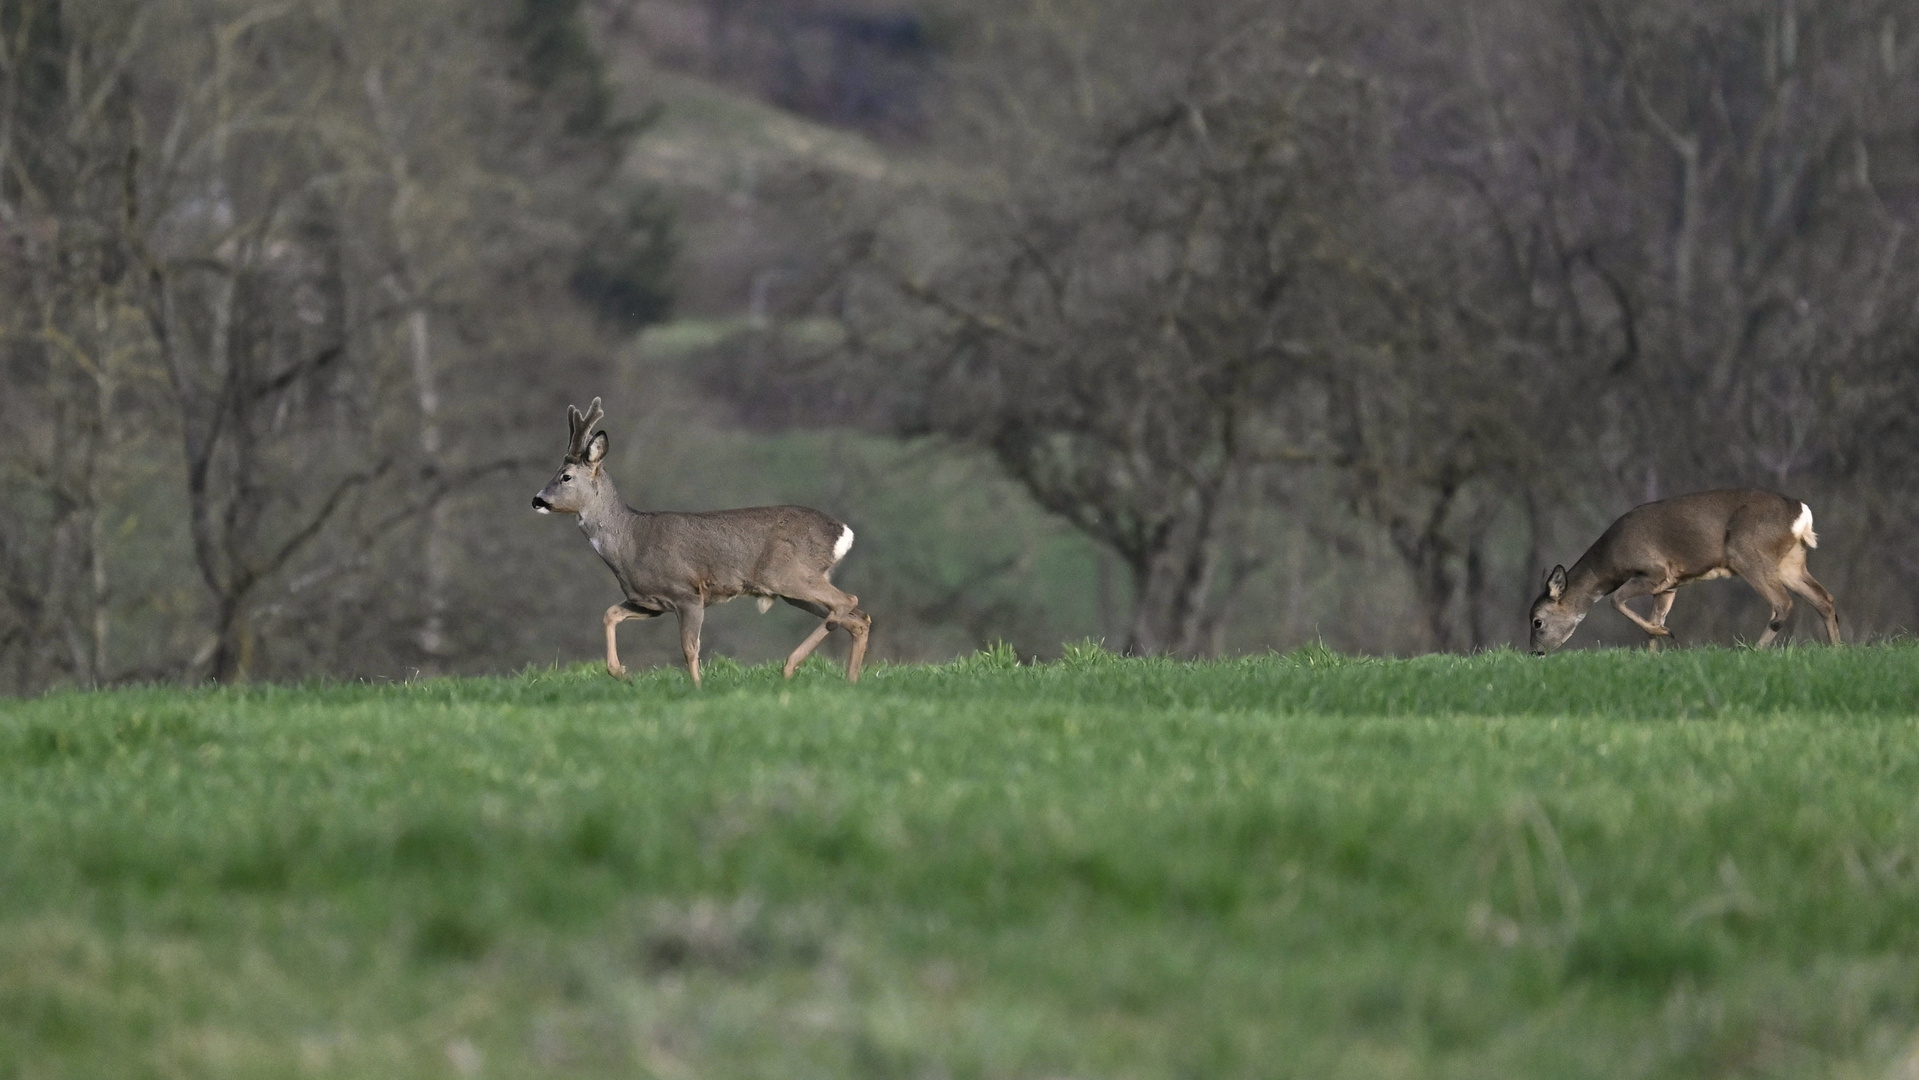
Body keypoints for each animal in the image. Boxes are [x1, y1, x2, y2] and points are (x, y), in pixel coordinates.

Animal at [533, 397, 878, 682]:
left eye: (565, 476)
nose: (537, 500)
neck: (630, 541)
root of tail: (843, 531)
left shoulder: (687, 592)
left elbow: (689, 648)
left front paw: (697, 689)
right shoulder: (649, 602)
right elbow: (610, 614)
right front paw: (621, 674)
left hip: (786, 573)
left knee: (848, 602)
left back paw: (791, 665)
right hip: (795, 587)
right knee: (858, 618)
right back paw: (847, 681)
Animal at [1527, 487, 1842, 656]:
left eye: (1537, 621)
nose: (1535, 653)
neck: (1610, 562)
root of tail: (1801, 513)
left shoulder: (1654, 572)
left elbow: (1616, 601)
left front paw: (1666, 633)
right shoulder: (1669, 586)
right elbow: (1654, 618)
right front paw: (1653, 651)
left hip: (1748, 553)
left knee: (1783, 603)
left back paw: (1752, 649)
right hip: (1791, 562)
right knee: (1824, 599)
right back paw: (1837, 648)